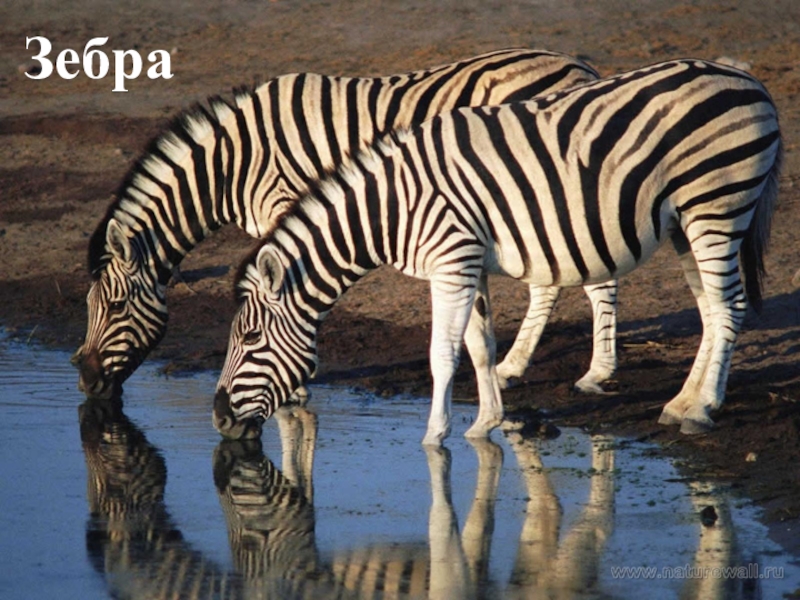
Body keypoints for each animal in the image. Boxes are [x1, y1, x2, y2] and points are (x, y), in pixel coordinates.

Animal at [73, 48, 616, 403]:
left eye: (114, 306)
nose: (85, 380)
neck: (232, 163)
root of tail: (580, 66)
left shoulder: (285, 203)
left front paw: (294, 383)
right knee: (550, 278)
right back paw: (512, 367)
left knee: (596, 274)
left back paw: (597, 373)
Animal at [213, 58, 781, 445]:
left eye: (251, 337)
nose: (217, 416)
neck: (392, 206)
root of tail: (749, 81)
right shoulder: (467, 264)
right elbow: (481, 344)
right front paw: (487, 422)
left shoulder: (452, 262)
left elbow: (443, 353)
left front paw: (435, 437)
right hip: (687, 222)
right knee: (709, 309)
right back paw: (681, 401)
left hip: (717, 205)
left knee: (728, 307)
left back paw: (703, 409)